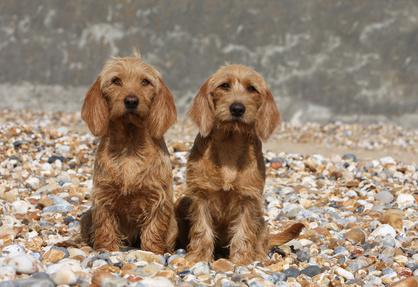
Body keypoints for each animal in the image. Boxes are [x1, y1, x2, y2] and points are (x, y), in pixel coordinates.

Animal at [80, 54, 178, 254]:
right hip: (86, 217)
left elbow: (154, 227)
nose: (131, 101)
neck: (130, 148)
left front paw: (153, 250)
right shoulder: (103, 196)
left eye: (145, 82)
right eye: (116, 80)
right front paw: (107, 248)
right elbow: (105, 225)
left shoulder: (159, 197)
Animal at [176, 64, 304, 266]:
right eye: (224, 85)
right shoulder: (200, 196)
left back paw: (261, 257)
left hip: (261, 219)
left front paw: (241, 260)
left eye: (252, 88)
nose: (237, 108)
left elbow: (243, 232)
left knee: (262, 239)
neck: (230, 143)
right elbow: (201, 229)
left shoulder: (248, 199)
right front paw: (198, 257)